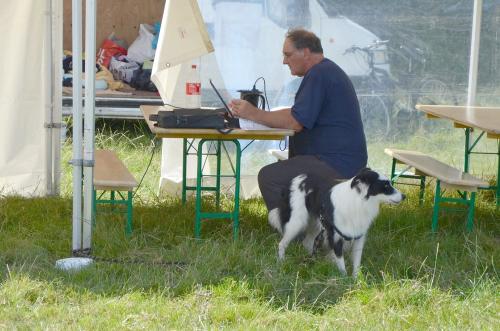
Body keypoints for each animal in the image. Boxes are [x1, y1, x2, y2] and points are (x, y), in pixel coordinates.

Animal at [268, 167, 404, 278]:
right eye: (386, 187)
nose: (404, 196)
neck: (358, 202)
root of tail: (297, 178)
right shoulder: (335, 236)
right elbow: (341, 262)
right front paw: (344, 279)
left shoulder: (359, 237)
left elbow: (356, 263)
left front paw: (357, 280)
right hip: (297, 222)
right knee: (282, 243)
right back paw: (282, 261)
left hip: (316, 224)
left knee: (307, 242)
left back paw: (313, 260)